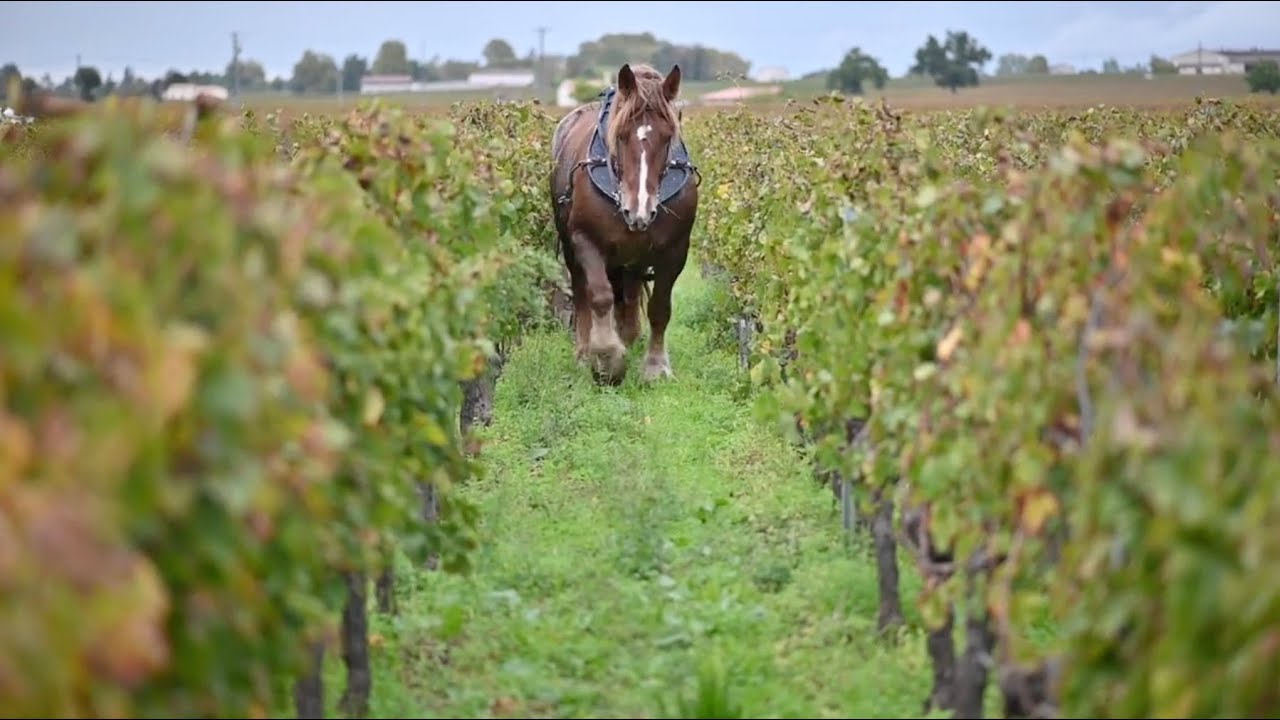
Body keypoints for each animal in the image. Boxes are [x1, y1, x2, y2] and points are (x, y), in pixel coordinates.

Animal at [548, 62, 700, 386]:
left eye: (668, 137)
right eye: (621, 135)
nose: (637, 211)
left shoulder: (675, 250)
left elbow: (660, 307)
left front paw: (656, 366)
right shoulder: (585, 239)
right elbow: (599, 296)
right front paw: (607, 359)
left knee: (628, 295)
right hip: (572, 247)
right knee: (583, 292)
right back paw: (585, 352)